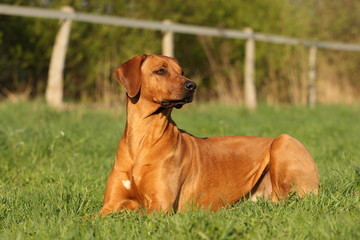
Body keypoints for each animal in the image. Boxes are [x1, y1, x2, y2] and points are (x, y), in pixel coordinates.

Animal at [97, 54, 318, 216]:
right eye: (161, 70)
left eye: (182, 72)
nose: (192, 85)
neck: (142, 136)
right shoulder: (109, 205)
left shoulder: (160, 206)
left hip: (283, 141)